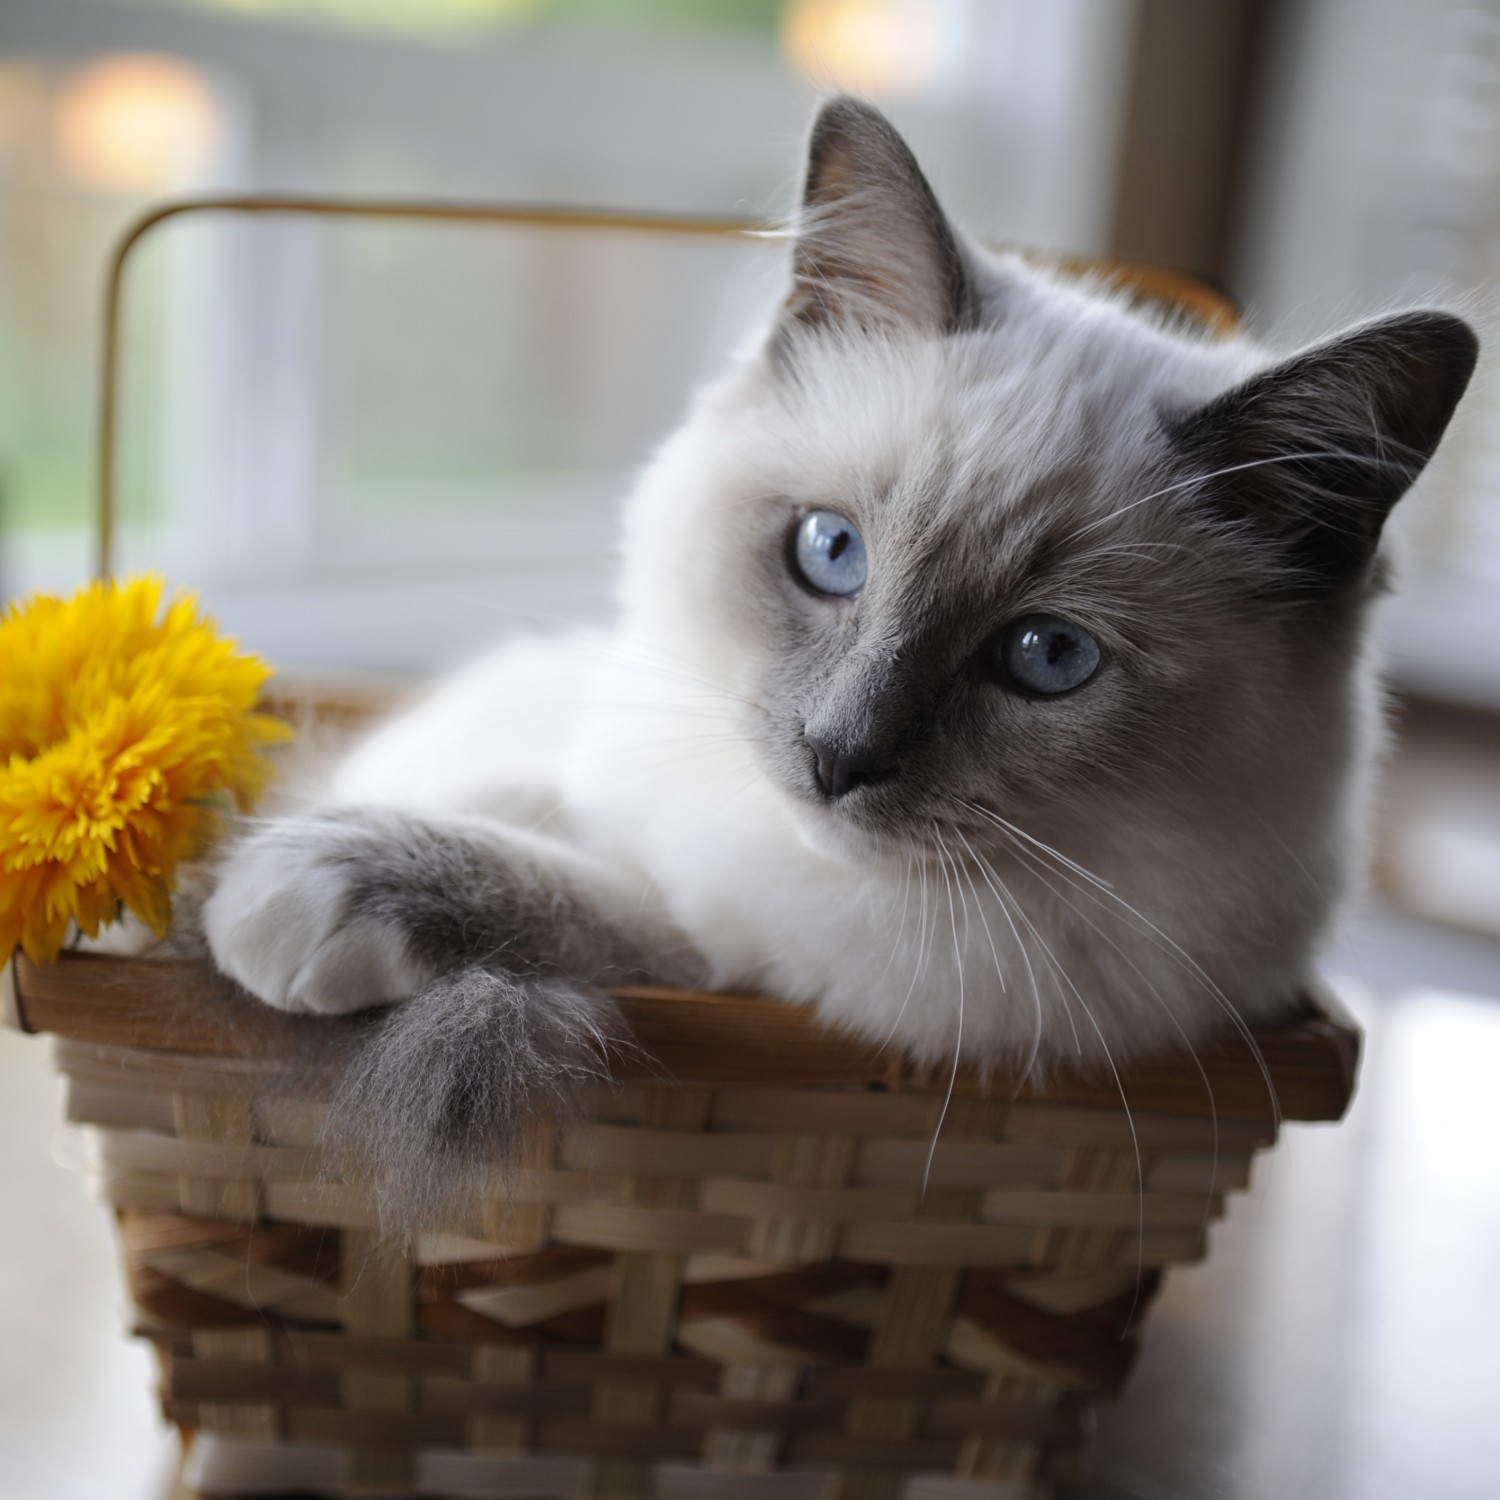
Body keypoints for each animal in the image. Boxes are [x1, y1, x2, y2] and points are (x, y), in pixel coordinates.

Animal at [199, 93, 1476, 1218]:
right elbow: (503, 800)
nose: (835, 758)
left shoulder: (778, 968)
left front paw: (271, 887)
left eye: (1048, 655)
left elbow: (604, 908)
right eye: (831, 552)